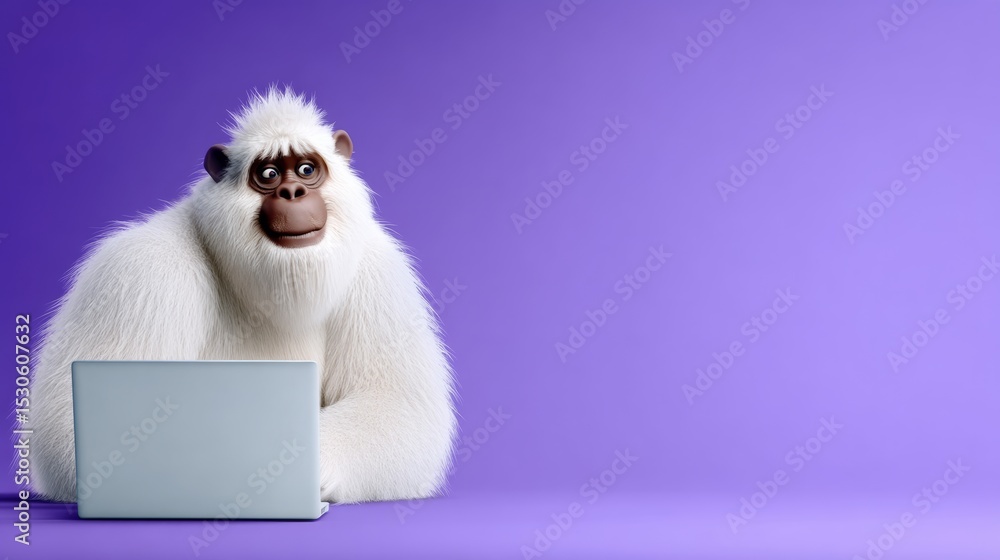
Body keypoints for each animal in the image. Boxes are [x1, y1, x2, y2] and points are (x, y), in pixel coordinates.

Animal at [28, 88, 456, 504]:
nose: (292, 191)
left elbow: (401, 409)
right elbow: (62, 426)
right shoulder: (139, 271)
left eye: (307, 170)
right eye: (268, 174)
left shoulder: (381, 277)